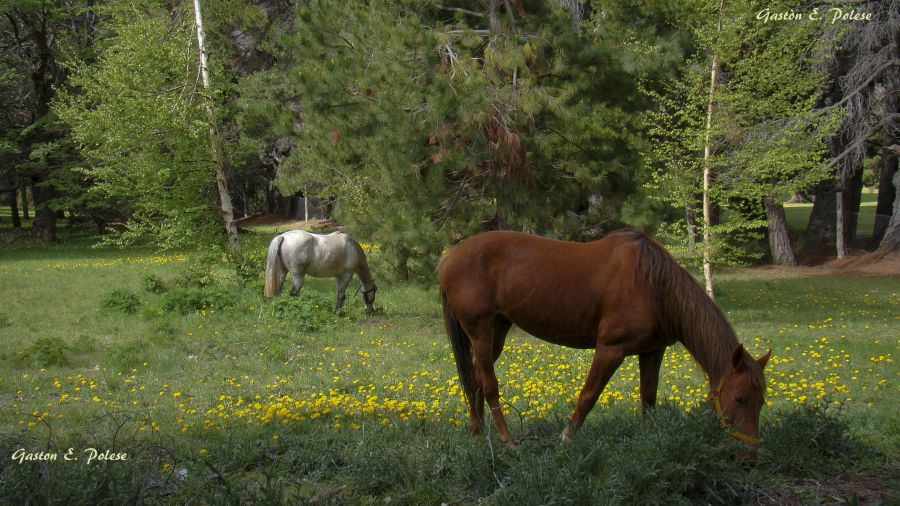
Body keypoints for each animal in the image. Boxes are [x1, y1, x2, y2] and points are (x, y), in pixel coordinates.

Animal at [440, 229, 768, 454]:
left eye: (762, 400)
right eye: (740, 398)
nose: (750, 455)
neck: (652, 285)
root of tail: (448, 258)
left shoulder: (652, 351)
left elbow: (648, 398)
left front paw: (648, 440)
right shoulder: (611, 349)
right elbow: (588, 395)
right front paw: (566, 439)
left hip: (498, 328)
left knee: (476, 378)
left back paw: (478, 431)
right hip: (480, 330)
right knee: (489, 384)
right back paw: (508, 441)